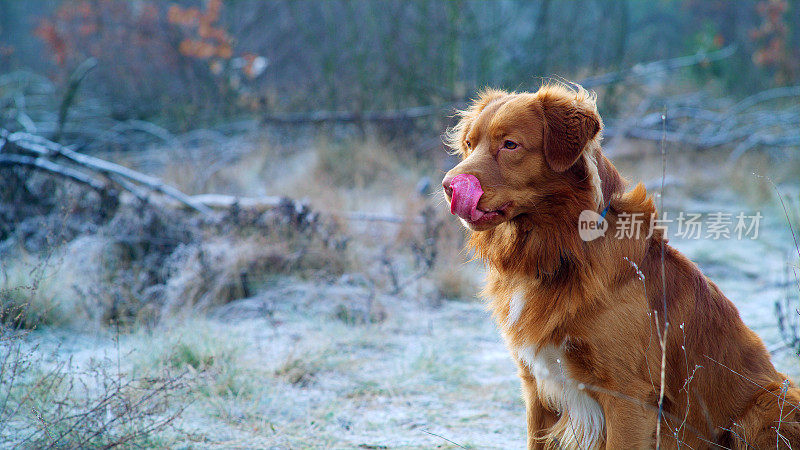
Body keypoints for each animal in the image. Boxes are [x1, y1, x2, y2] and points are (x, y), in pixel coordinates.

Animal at [444, 82, 800, 448]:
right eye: (469, 144)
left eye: (510, 144)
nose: (448, 186)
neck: (560, 251)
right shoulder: (537, 386)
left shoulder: (627, 395)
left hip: (768, 405)